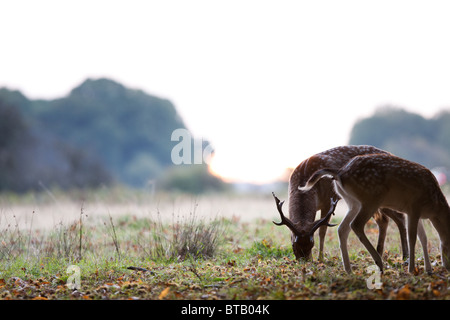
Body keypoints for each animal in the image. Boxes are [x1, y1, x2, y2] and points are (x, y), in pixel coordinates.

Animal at [270, 146, 412, 262]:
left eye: (312, 244)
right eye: (293, 245)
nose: (305, 261)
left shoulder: (328, 200)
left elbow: (322, 230)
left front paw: (321, 258)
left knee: (399, 217)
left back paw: (405, 256)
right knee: (384, 220)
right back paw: (379, 253)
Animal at [298, 154, 446, 274]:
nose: (446, 266)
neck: (434, 207)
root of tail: (340, 172)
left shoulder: (414, 213)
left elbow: (423, 237)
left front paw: (428, 269)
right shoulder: (414, 209)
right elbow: (414, 237)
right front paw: (412, 270)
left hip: (352, 202)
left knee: (342, 228)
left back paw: (349, 269)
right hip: (370, 199)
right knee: (356, 225)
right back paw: (379, 264)